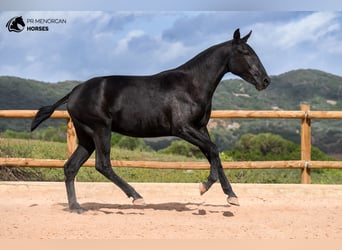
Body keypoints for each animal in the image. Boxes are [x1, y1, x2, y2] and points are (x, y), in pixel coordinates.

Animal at [31, 29, 270, 213]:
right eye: (245, 52)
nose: (265, 81)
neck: (191, 85)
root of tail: (74, 92)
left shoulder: (201, 128)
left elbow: (214, 155)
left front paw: (232, 196)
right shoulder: (183, 129)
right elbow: (213, 150)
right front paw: (204, 186)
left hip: (86, 137)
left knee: (70, 167)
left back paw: (76, 207)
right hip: (100, 130)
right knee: (103, 164)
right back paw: (137, 197)